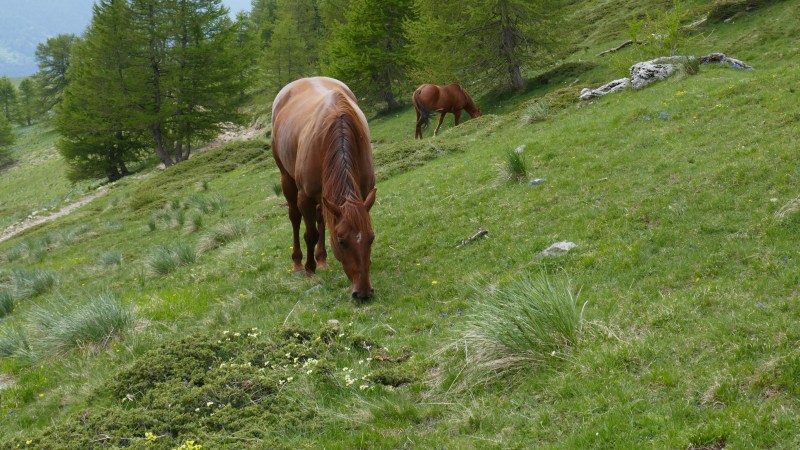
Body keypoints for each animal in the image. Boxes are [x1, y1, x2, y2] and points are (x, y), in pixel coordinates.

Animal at [272, 77, 378, 300]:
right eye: (341, 241)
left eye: (371, 238)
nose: (363, 293)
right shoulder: (305, 197)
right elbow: (310, 234)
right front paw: (309, 269)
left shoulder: (363, 193)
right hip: (287, 180)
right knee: (295, 218)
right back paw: (298, 263)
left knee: (321, 218)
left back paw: (321, 259)